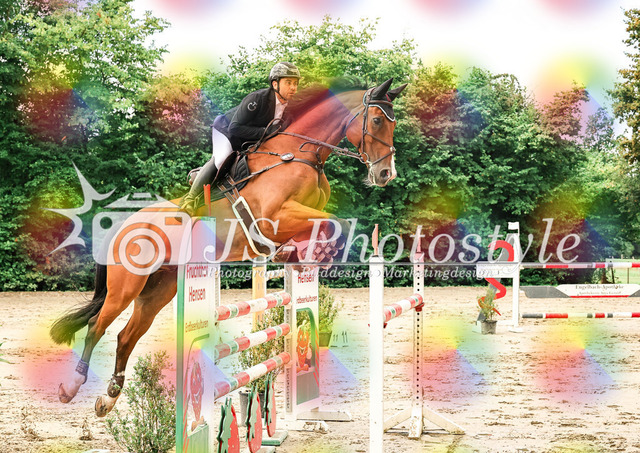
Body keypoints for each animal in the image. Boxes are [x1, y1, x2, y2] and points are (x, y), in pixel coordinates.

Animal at [49, 78, 407, 417]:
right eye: (377, 120)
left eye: (393, 123)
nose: (386, 174)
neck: (302, 154)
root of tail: (124, 224)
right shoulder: (273, 217)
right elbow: (336, 222)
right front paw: (304, 252)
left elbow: (331, 224)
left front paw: (301, 254)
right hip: (126, 286)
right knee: (97, 327)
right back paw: (72, 386)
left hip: (159, 290)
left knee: (126, 336)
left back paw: (108, 399)